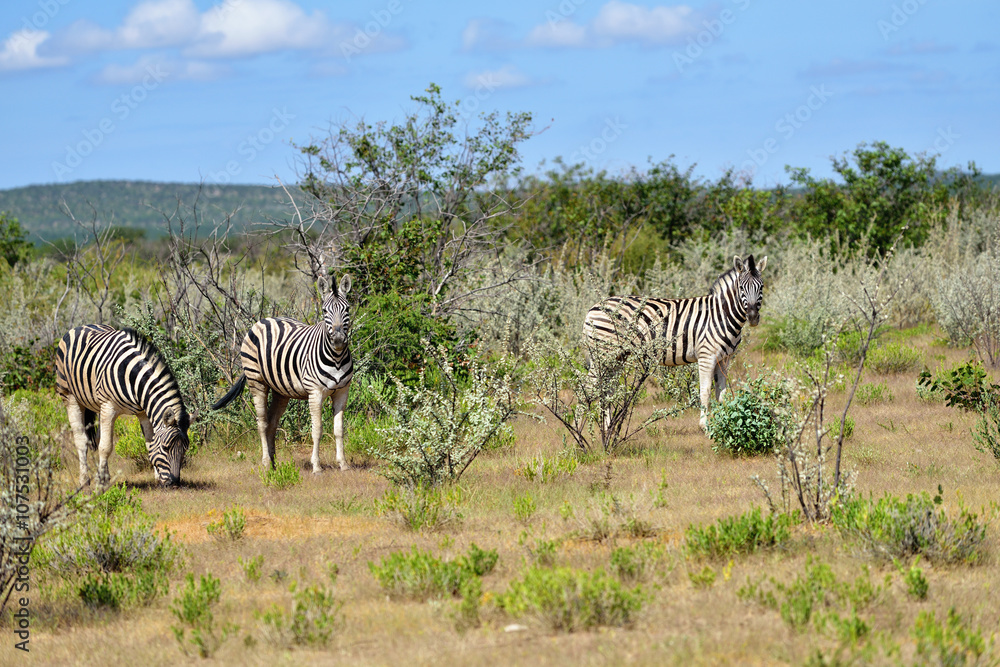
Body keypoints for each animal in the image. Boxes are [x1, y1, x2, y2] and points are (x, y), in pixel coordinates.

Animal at [55, 324, 191, 488]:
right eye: (166, 447)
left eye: (185, 448)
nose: (174, 484)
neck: (134, 378)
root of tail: (81, 326)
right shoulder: (109, 407)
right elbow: (106, 447)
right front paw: (100, 483)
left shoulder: (143, 412)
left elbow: (149, 443)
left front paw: (157, 477)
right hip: (70, 397)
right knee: (81, 440)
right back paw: (84, 481)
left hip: (97, 405)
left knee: (98, 438)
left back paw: (104, 475)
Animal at [212, 274, 354, 473]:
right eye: (325, 311)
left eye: (347, 308)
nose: (339, 340)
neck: (337, 358)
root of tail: (264, 319)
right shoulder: (315, 392)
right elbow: (317, 429)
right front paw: (316, 466)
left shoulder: (342, 391)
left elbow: (339, 429)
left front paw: (343, 463)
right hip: (256, 381)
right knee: (262, 422)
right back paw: (265, 462)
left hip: (281, 390)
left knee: (272, 422)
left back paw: (273, 463)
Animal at [583, 254, 767, 431]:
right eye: (741, 288)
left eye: (761, 287)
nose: (752, 317)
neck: (722, 315)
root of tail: (594, 307)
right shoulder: (706, 356)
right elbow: (705, 392)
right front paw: (705, 427)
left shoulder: (724, 359)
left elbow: (721, 394)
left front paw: (726, 423)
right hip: (603, 354)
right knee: (588, 387)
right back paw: (582, 432)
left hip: (617, 356)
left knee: (607, 389)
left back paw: (607, 428)